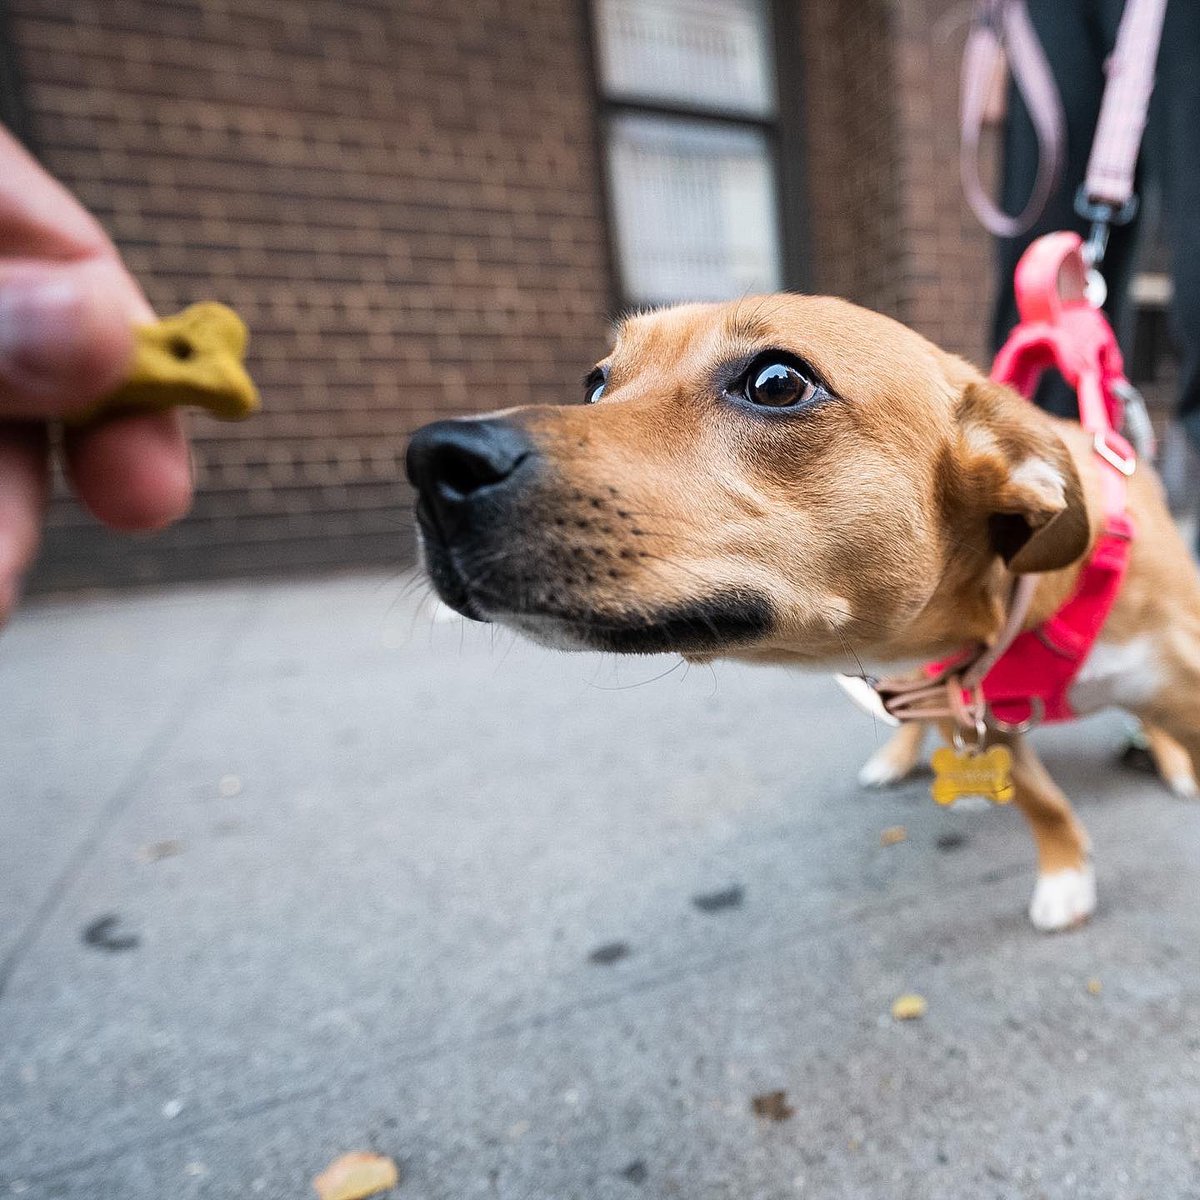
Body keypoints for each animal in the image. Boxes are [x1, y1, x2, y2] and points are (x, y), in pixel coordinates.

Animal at [408, 295, 1200, 931]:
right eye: (596, 382)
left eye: (777, 382)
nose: (432, 461)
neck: (1008, 610)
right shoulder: (961, 704)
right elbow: (1042, 801)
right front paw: (1066, 873)